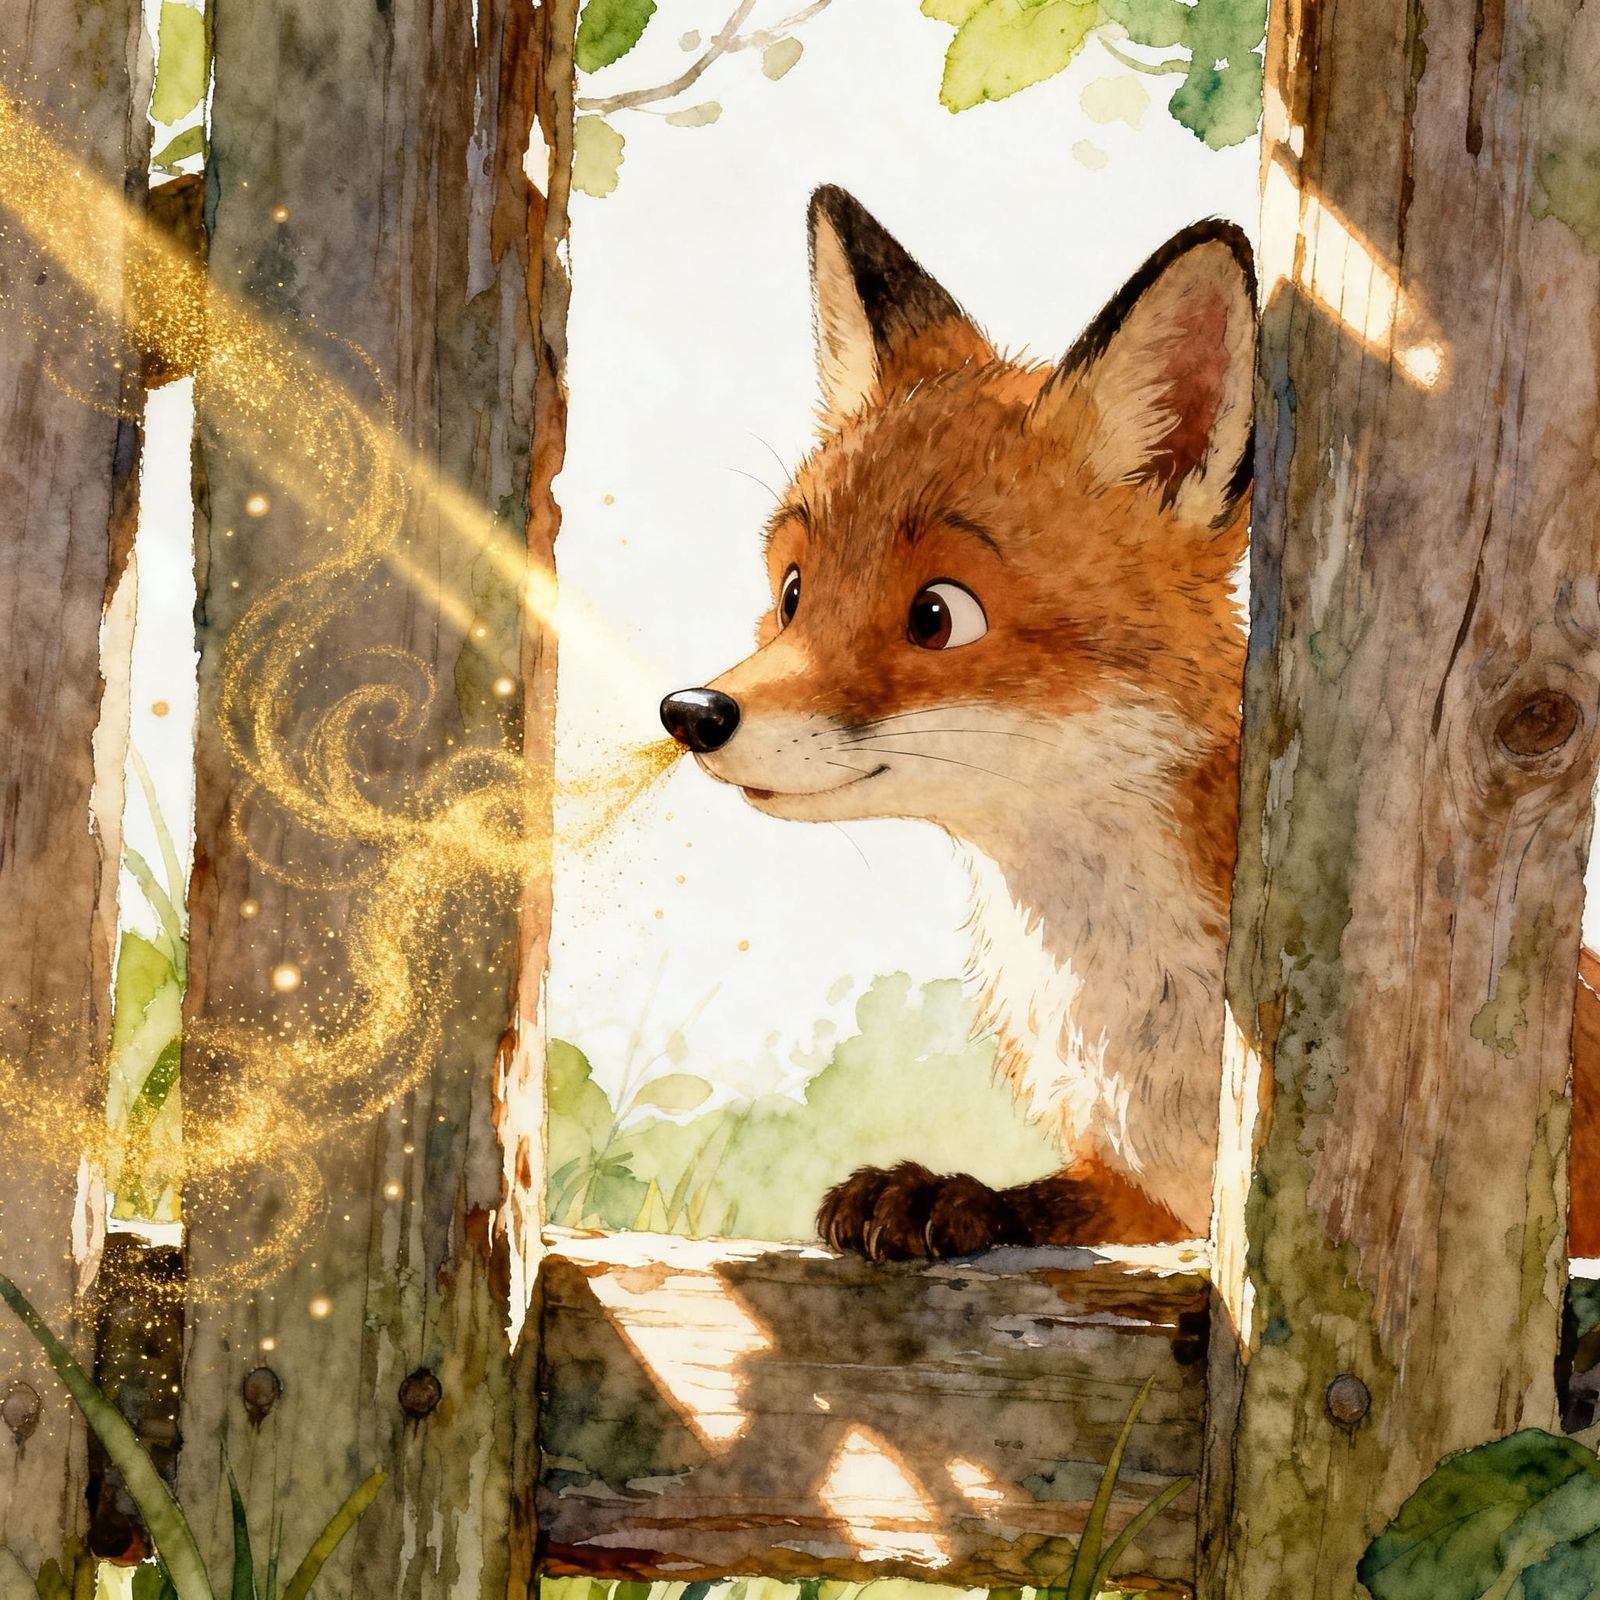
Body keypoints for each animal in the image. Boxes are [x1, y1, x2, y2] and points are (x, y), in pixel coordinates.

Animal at [660, 185, 1600, 1260]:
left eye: (937, 616)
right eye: (792, 593)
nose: (692, 712)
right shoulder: (1137, 1193)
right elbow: (1045, 1203)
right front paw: (940, 1193)